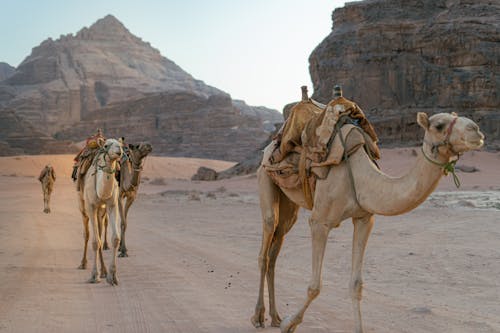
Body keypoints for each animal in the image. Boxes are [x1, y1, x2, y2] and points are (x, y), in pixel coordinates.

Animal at [78, 139, 125, 284]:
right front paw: (94, 276)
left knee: (99, 230)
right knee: (87, 234)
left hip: (101, 211)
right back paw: (83, 263)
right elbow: (94, 242)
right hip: (83, 206)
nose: (119, 150)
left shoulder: (112, 204)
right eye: (106, 145)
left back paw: (104, 271)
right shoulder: (91, 206)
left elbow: (115, 238)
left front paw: (112, 276)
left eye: (121, 145)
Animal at [254, 110, 484, 330]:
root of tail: (271, 145)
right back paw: (258, 317)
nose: (477, 131)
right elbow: (314, 286)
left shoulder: (364, 219)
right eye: (439, 125)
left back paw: (274, 317)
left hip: (289, 207)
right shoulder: (320, 221)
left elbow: (356, 285)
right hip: (265, 177)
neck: (360, 178)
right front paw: (289, 325)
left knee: (276, 248)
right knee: (266, 245)